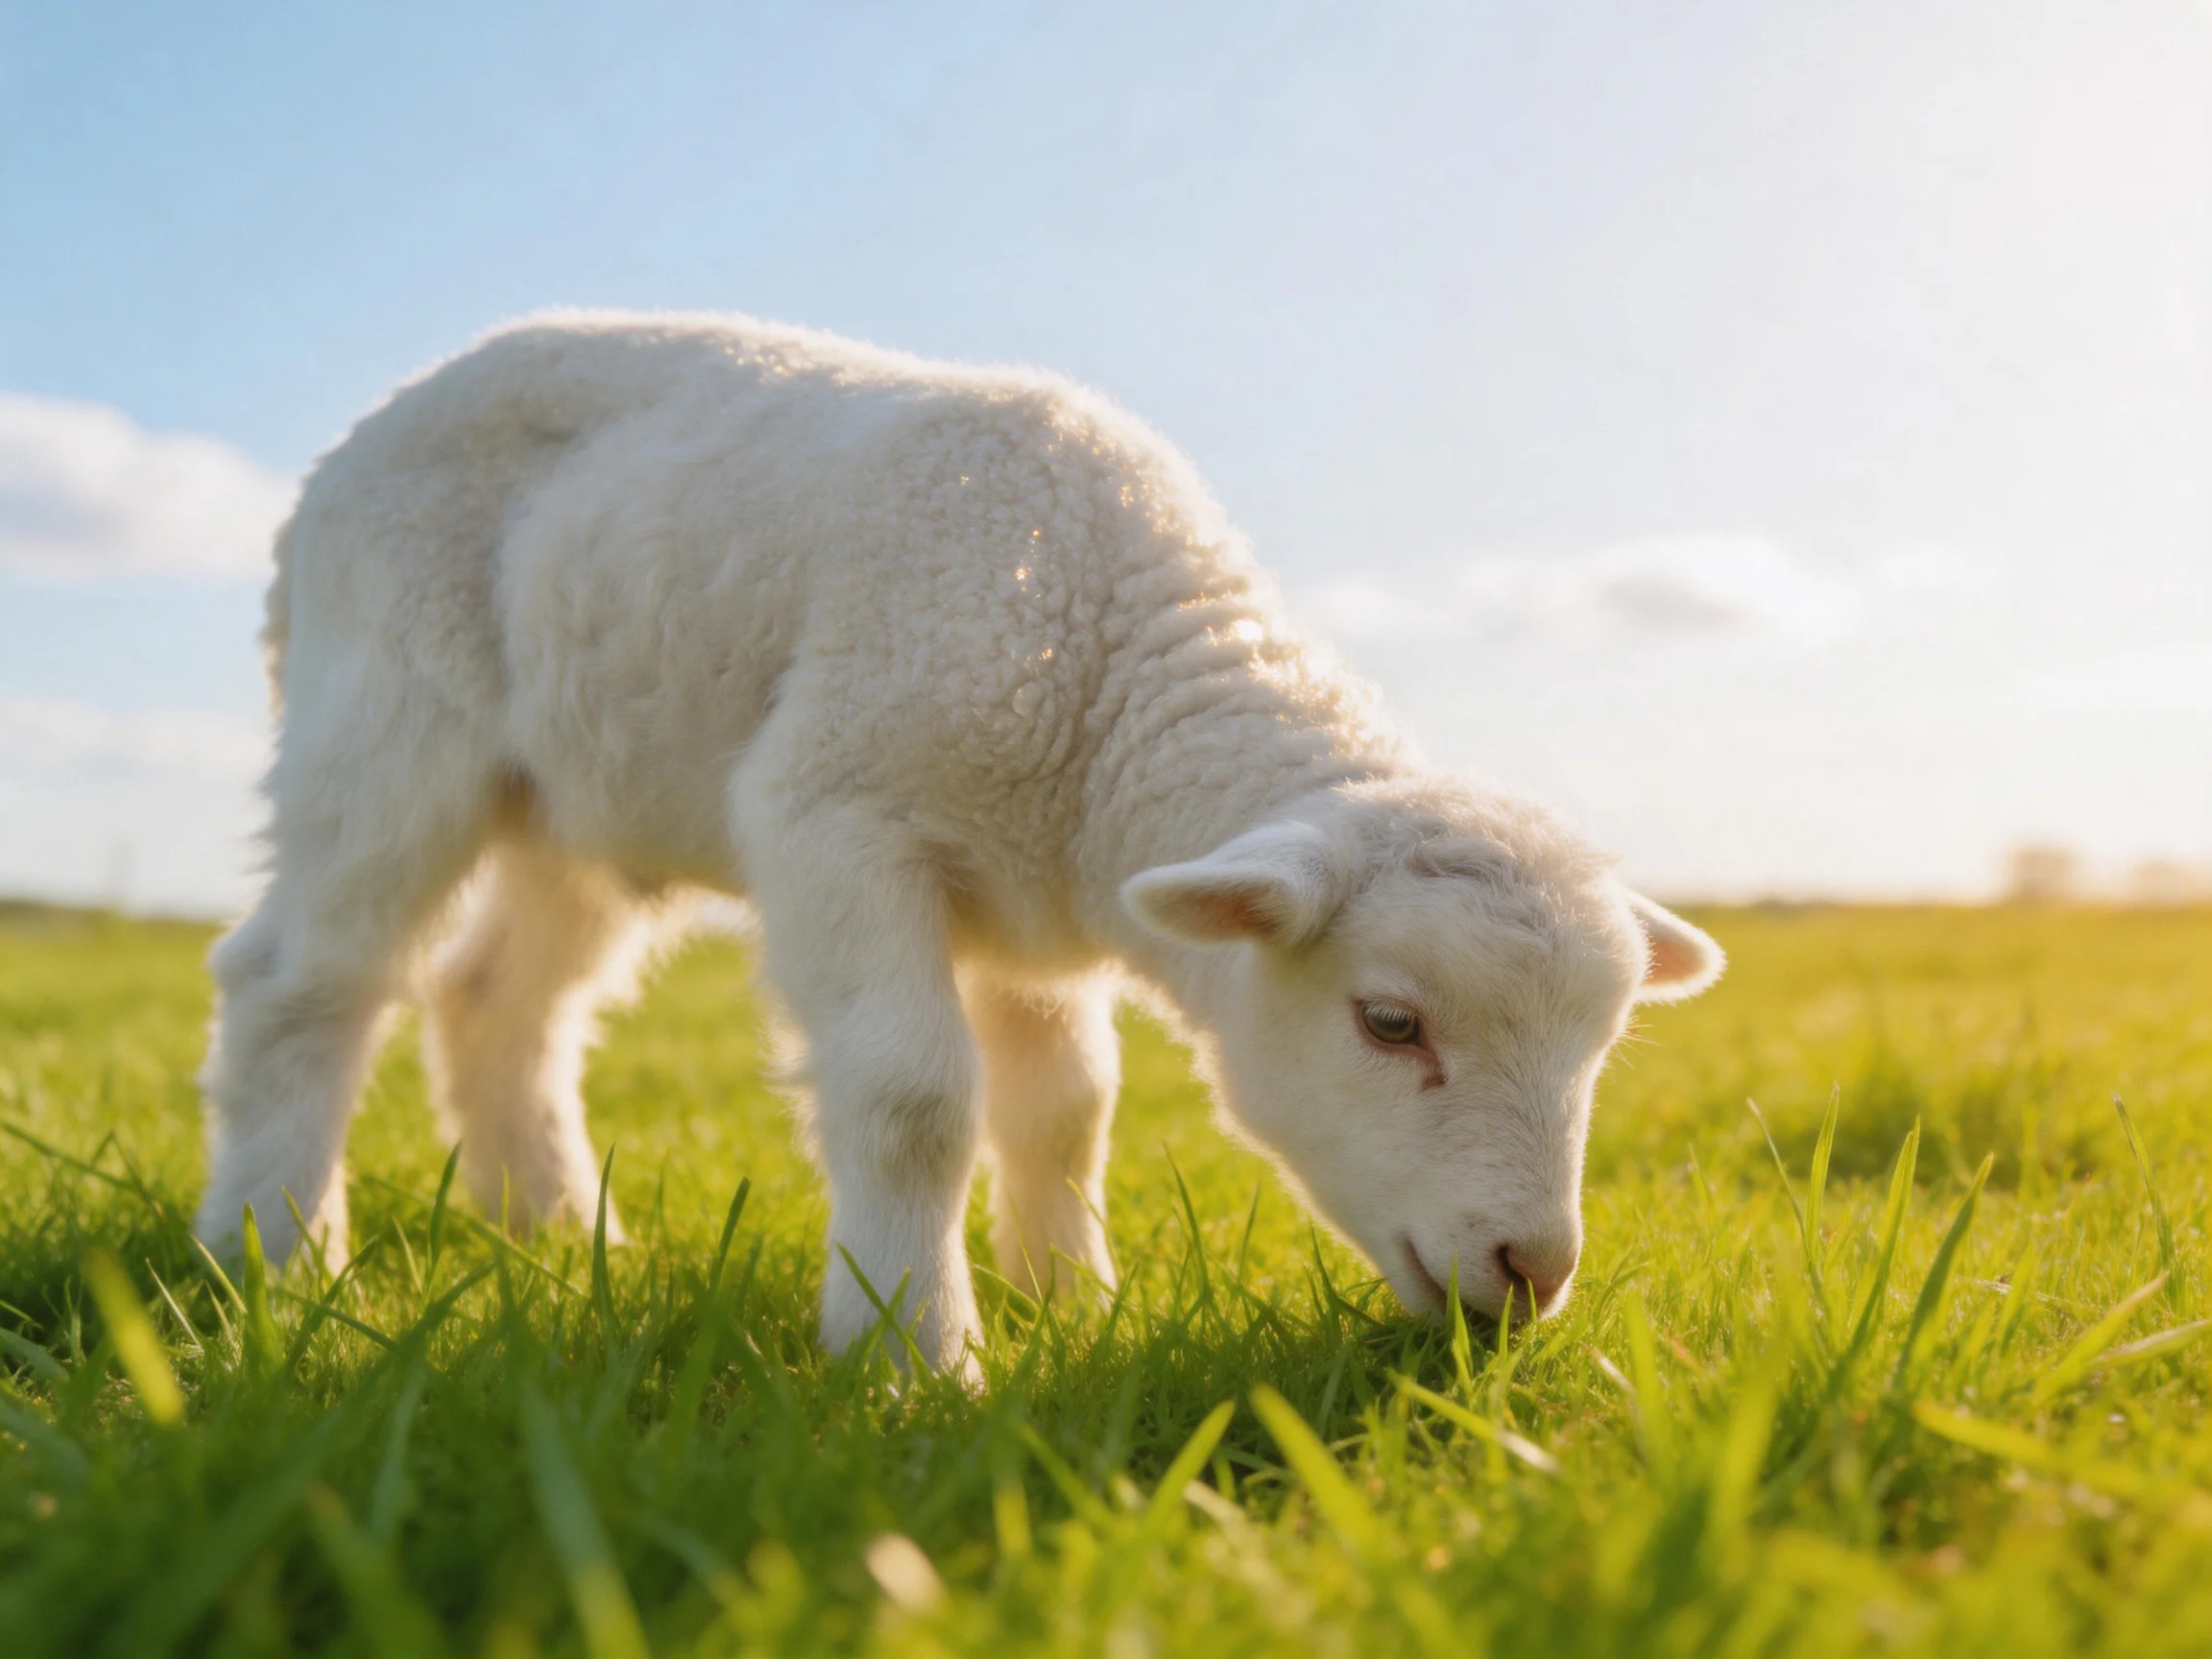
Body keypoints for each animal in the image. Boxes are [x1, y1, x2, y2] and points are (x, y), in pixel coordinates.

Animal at [196, 309, 1723, 1374]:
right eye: (1391, 1022)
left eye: (1603, 1047)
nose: (1533, 1272)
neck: (1103, 687)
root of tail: (345, 453)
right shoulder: (838, 813)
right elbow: (915, 1100)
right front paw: (912, 1356)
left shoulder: (1036, 911)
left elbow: (1066, 1110)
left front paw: (1071, 1301)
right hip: (384, 704)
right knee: (303, 979)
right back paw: (273, 1258)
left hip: (573, 796)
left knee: (496, 1001)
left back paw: (564, 1240)